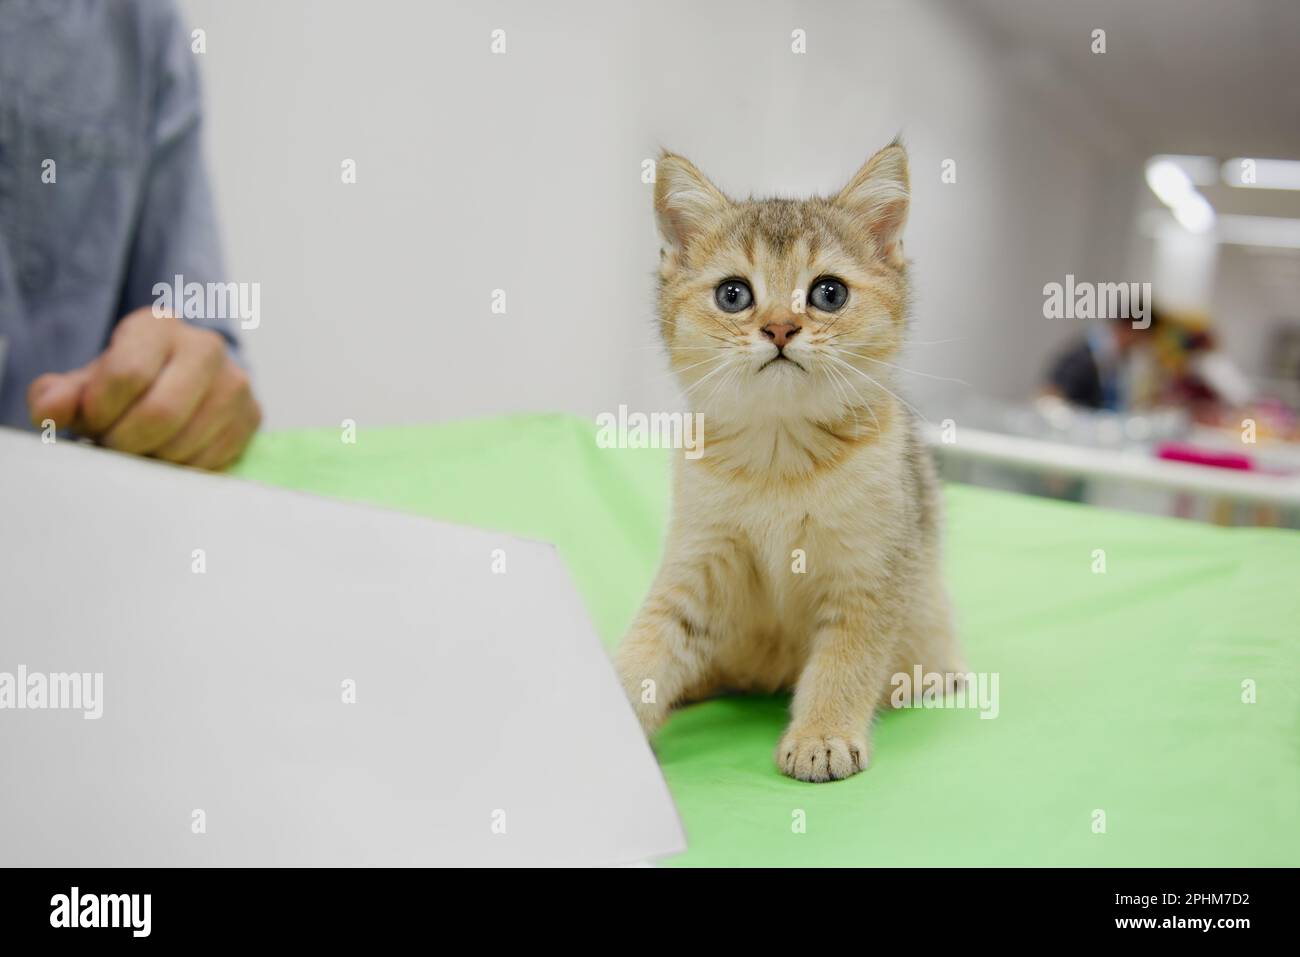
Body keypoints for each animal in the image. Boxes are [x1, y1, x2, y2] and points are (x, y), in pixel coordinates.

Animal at [613, 143, 961, 785]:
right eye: (733, 294)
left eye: (828, 293)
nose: (779, 327)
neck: (780, 459)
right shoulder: (697, 557)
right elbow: (654, 639)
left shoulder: (870, 571)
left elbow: (846, 661)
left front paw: (823, 736)